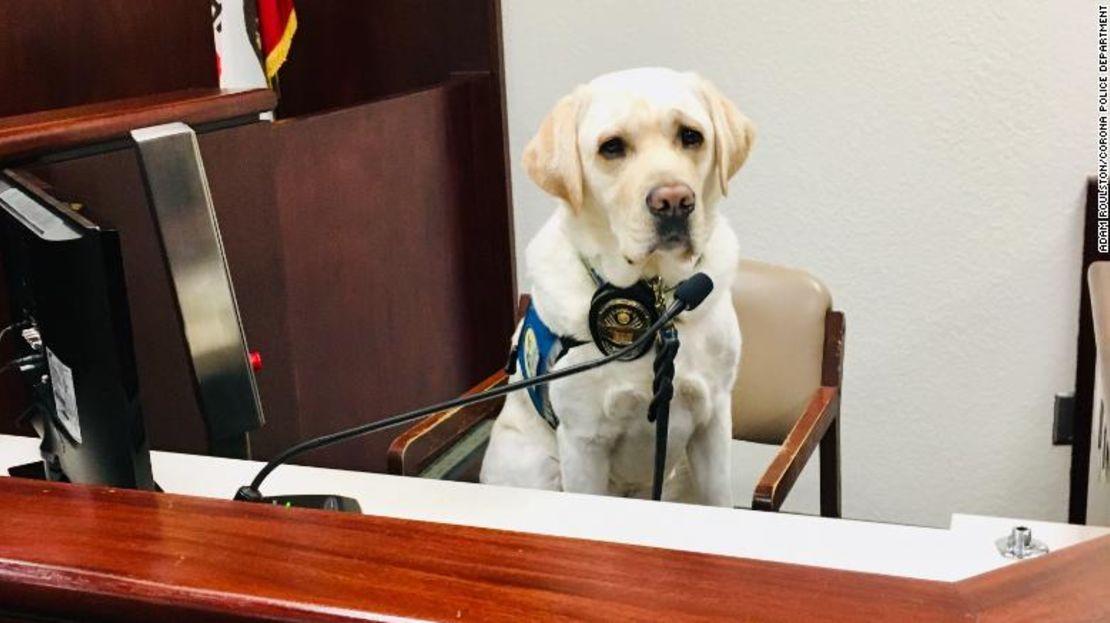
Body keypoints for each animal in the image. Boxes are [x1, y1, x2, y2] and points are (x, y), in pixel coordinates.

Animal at [483, 68, 754, 506]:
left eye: (691, 136)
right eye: (611, 147)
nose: (674, 201)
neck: (659, 303)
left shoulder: (713, 422)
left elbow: (721, 499)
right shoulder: (583, 444)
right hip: (535, 465)